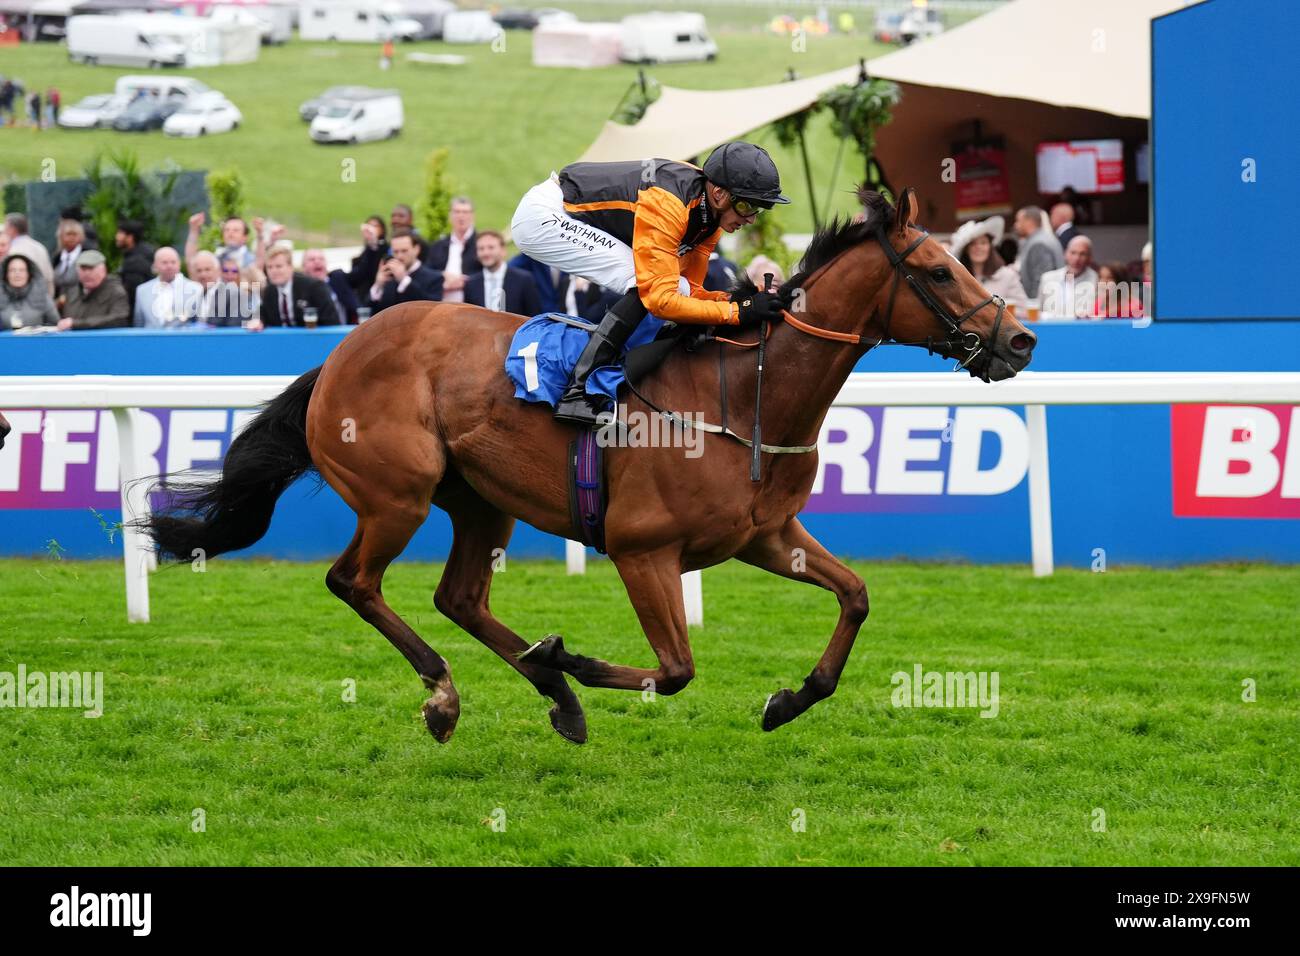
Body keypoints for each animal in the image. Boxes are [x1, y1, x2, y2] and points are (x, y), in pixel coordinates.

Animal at [144, 188, 1034, 749]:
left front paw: (788, 700)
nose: (1021, 340)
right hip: (397, 496)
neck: (745, 399)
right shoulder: (644, 550)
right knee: (354, 582)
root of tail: (339, 354)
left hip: (480, 501)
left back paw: (559, 700)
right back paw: (449, 693)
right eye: (940, 270)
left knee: (459, 597)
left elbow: (855, 596)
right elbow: (675, 671)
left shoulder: (766, 536)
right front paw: (567, 657)